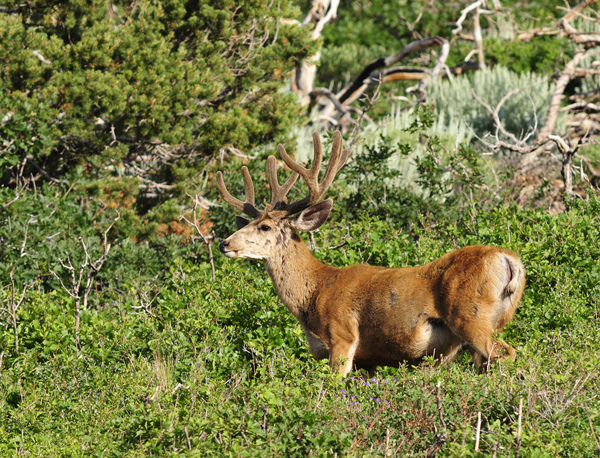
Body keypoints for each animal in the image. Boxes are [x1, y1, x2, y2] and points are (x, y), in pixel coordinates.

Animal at [217, 131, 524, 376]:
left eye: (265, 226)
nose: (225, 243)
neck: (315, 291)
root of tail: (509, 260)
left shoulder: (342, 336)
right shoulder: (368, 360)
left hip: (470, 314)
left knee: (506, 353)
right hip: (493, 321)